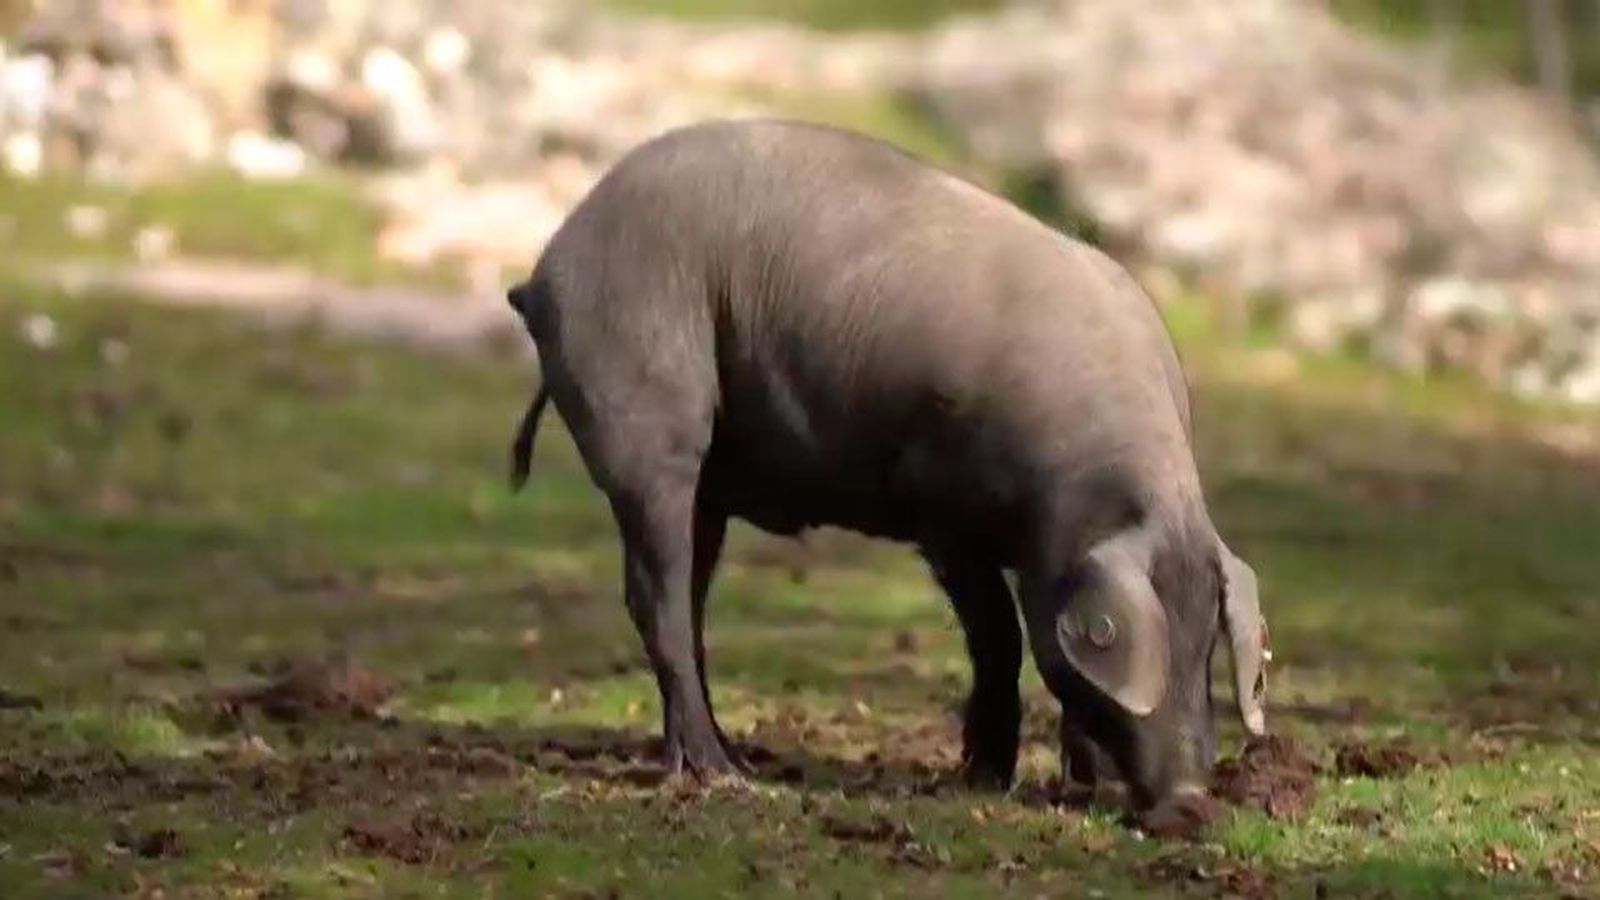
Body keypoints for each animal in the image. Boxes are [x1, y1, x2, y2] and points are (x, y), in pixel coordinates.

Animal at [506, 120, 1268, 826]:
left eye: (1209, 647)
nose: (1191, 806)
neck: (1071, 492)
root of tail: (546, 268)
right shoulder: (940, 509)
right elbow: (998, 634)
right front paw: (983, 778)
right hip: (644, 418)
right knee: (655, 597)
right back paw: (723, 774)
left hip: (707, 485)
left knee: (688, 598)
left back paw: (724, 758)